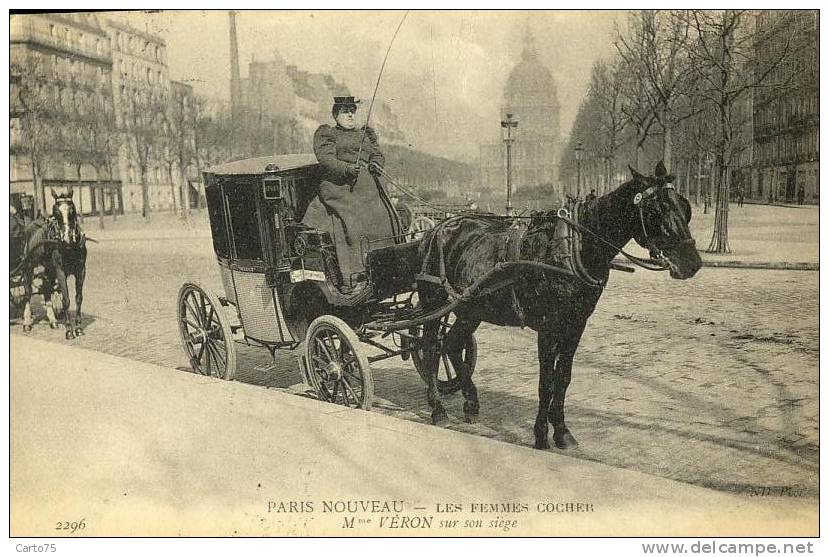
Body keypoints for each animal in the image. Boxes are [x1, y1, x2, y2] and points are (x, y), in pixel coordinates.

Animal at [20, 188, 87, 338]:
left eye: (72, 210)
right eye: (56, 212)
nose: (66, 239)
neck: (70, 247)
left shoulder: (81, 270)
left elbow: (79, 298)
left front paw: (79, 327)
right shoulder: (60, 271)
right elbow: (66, 300)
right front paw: (69, 330)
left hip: (49, 269)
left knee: (46, 289)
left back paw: (53, 321)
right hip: (29, 265)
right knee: (27, 292)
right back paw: (27, 322)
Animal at [420, 163, 700, 450]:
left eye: (684, 206)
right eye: (656, 210)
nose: (692, 263)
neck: (574, 247)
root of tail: (437, 227)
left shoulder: (576, 324)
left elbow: (563, 378)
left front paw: (562, 431)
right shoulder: (548, 327)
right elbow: (546, 382)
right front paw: (541, 434)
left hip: (470, 309)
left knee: (453, 345)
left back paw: (471, 403)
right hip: (434, 303)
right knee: (431, 348)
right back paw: (438, 409)